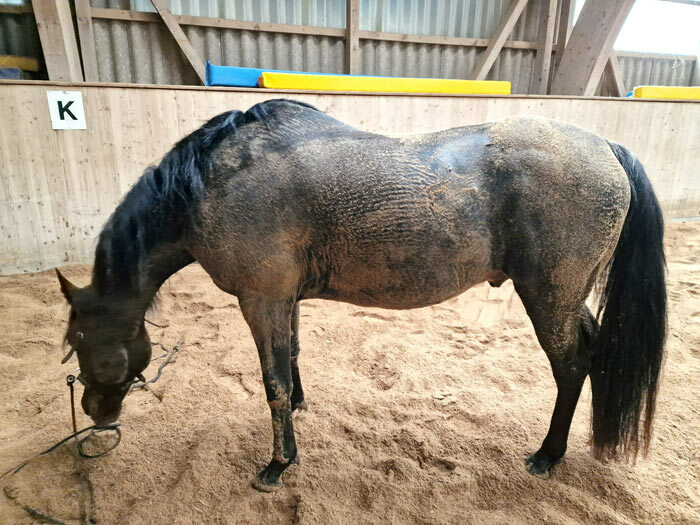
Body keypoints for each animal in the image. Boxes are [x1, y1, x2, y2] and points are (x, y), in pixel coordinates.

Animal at [56, 98, 668, 492]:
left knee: (572, 366)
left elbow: (273, 384)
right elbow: (291, 361)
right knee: (593, 352)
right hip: (567, 298)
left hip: (548, 298)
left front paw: (278, 464)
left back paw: (547, 455)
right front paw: (299, 413)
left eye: (80, 338)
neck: (212, 183)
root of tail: (605, 147)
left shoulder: (260, 300)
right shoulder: (283, 301)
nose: (95, 411)